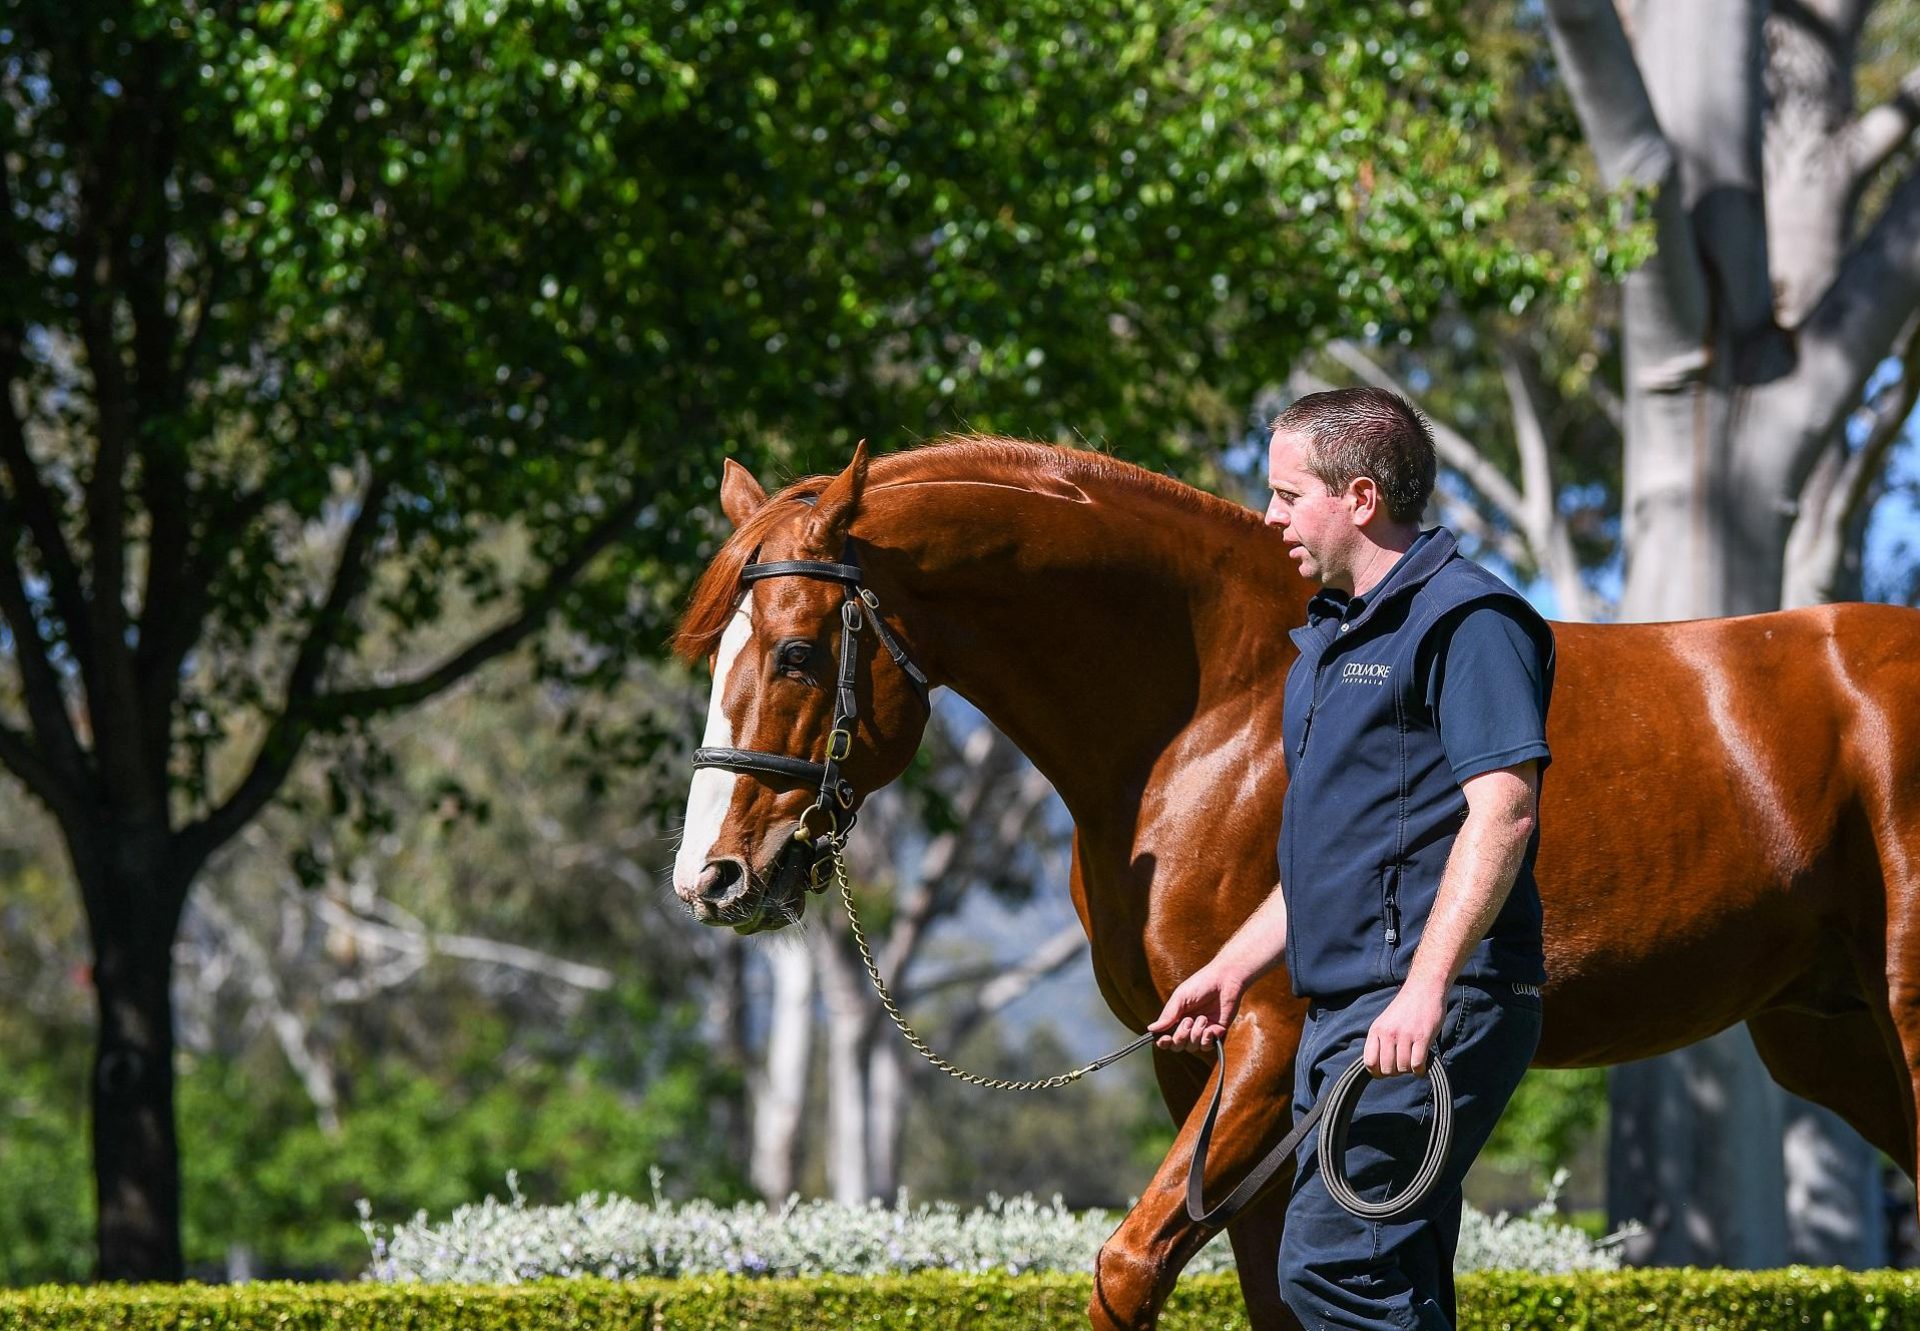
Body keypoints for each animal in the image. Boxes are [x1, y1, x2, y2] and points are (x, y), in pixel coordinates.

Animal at [672, 437, 1920, 1329]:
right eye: (716, 648)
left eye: (795, 650)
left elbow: (1129, 1266)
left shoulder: (1273, 1042)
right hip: (1835, 1038)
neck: (1218, 708)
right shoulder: (1198, 1061)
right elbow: (1269, 1288)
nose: (713, 875)